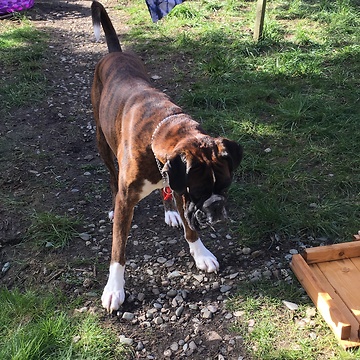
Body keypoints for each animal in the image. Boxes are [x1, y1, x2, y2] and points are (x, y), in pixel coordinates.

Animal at [90, 0, 242, 312]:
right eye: (201, 191)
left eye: (225, 187)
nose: (217, 207)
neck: (162, 125)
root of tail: (115, 53)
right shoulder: (133, 198)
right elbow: (118, 250)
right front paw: (114, 288)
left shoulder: (179, 186)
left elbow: (190, 228)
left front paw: (200, 253)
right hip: (102, 143)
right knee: (111, 176)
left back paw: (170, 211)